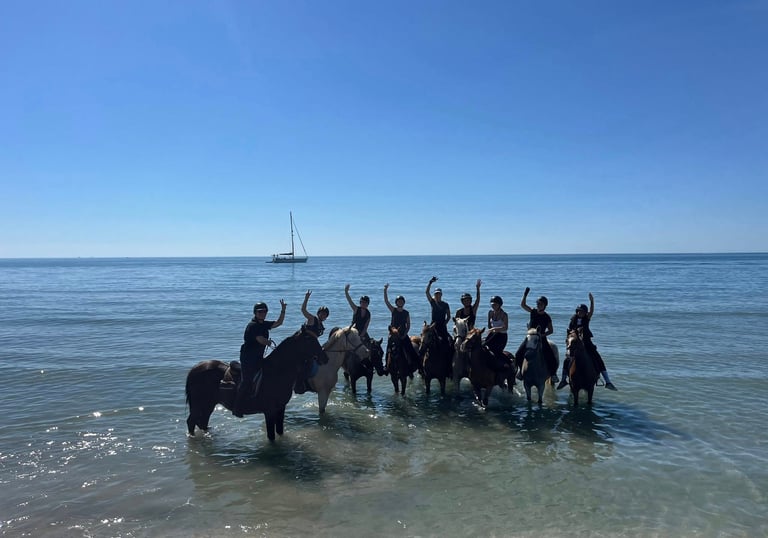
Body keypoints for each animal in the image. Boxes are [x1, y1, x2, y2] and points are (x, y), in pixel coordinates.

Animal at [185, 332, 328, 441]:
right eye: (310, 341)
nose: (325, 358)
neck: (277, 372)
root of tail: (195, 369)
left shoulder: (280, 408)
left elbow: (280, 431)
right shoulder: (269, 411)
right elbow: (271, 436)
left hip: (208, 404)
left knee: (202, 422)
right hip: (200, 404)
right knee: (191, 422)